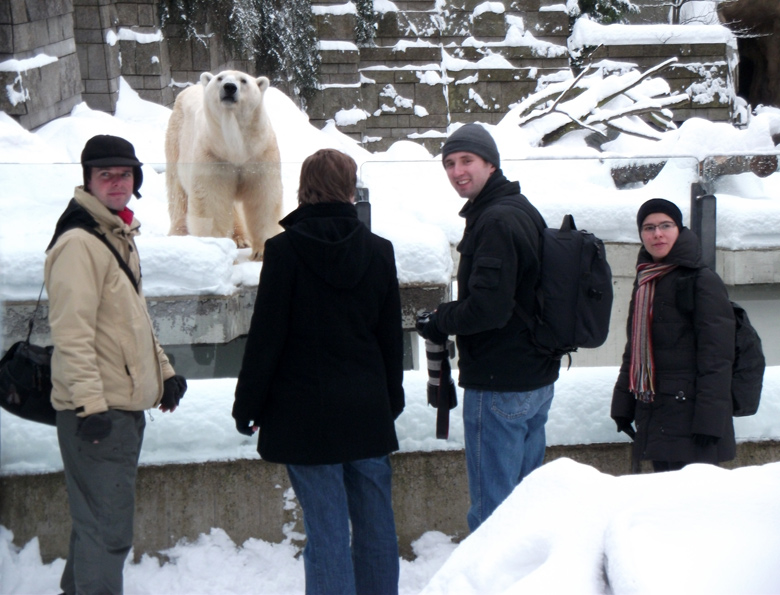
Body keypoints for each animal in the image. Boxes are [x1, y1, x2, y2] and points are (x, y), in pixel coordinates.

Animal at [165, 70, 284, 260]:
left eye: (243, 80)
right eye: (220, 78)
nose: (229, 87)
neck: (234, 147)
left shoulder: (260, 153)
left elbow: (263, 198)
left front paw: (261, 252)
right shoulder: (212, 155)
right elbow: (212, 202)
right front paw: (216, 250)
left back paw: (240, 239)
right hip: (176, 141)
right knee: (178, 193)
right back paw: (179, 234)